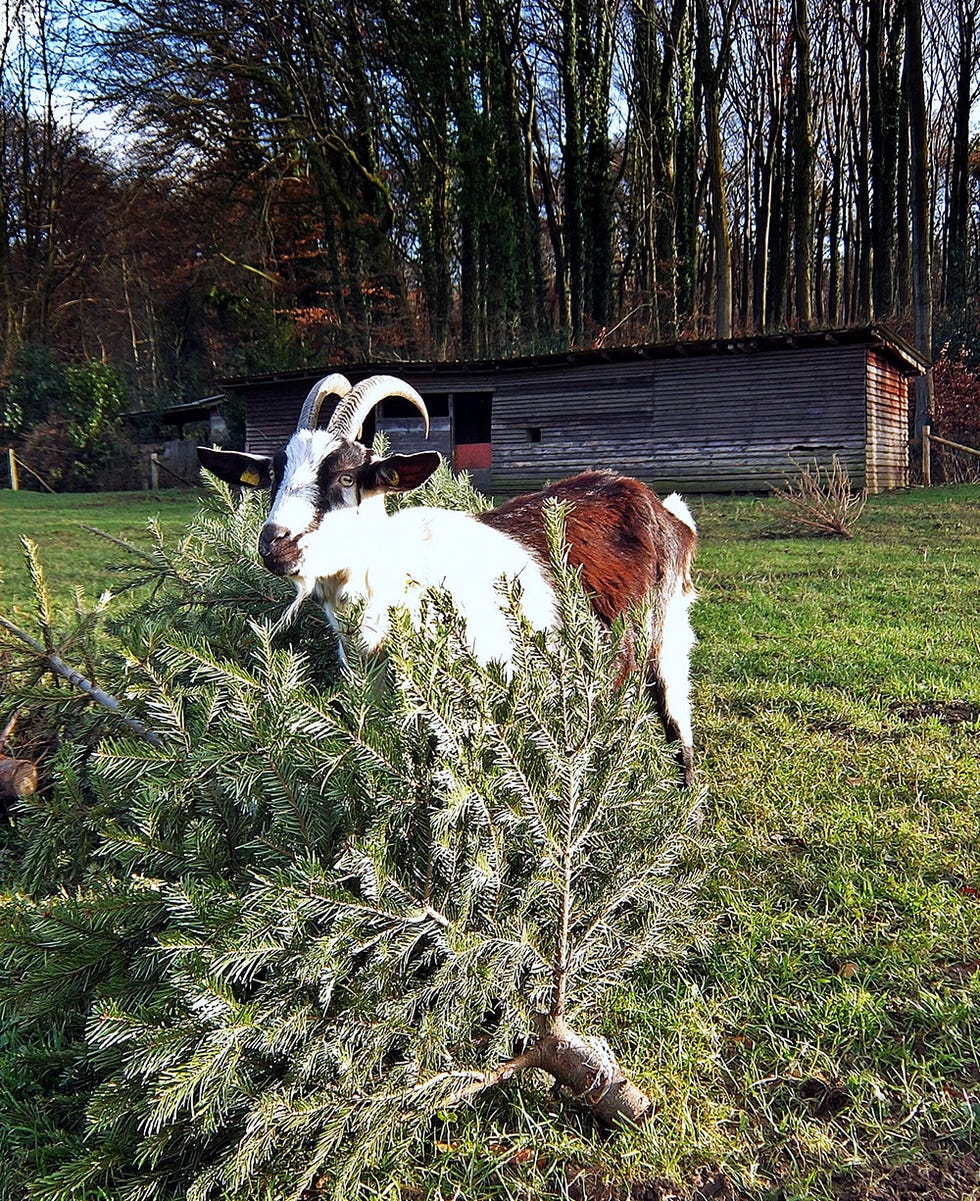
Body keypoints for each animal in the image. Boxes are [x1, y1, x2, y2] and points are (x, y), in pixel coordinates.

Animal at [196, 377, 696, 787]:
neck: (399, 580)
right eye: (274, 475)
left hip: (669, 633)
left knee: (677, 722)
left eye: (347, 476)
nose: (273, 543)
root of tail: (661, 507)